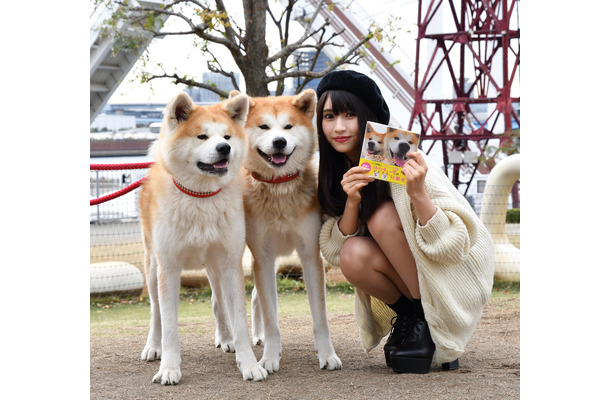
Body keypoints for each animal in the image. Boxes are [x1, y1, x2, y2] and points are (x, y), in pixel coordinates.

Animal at [141, 91, 268, 384]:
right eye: (202, 136)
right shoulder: (169, 268)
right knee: (155, 313)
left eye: (227, 136)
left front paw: (248, 364)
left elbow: (239, 321)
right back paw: (152, 346)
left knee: (217, 302)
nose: (224, 148)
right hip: (153, 268)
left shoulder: (231, 264)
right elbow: (169, 325)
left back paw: (226, 338)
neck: (200, 197)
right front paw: (169, 368)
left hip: (214, 267)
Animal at [229, 89, 340, 374]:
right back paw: (227, 339)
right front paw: (269, 357)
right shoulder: (263, 257)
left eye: (288, 127)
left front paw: (327, 354)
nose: (279, 141)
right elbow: (271, 317)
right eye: (263, 127)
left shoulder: (310, 256)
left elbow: (320, 318)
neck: (279, 187)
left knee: (255, 297)